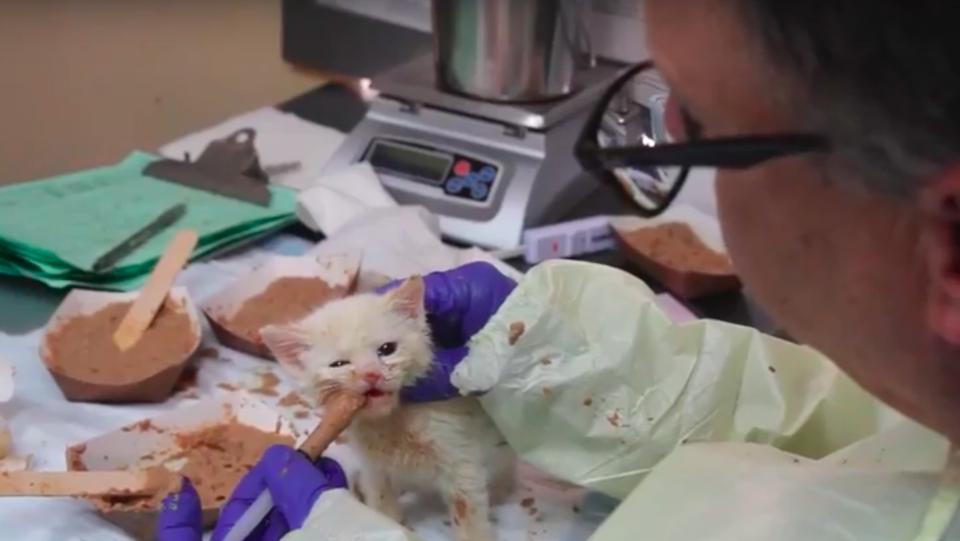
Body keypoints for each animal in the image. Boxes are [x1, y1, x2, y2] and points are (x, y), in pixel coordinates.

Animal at [258, 278, 512, 540]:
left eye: (387, 349)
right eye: (339, 364)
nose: (371, 374)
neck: (391, 422)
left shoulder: (460, 457)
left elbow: (469, 513)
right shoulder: (374, 467)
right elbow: (380, 506)